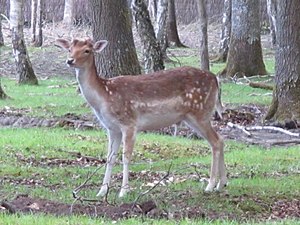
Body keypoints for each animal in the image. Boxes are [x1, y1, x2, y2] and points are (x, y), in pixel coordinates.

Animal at [55, 38, 226, 197]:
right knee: (220, 139)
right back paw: (221, 184)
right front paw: (102, 191)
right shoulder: (112, 128)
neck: (104, 97)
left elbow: (126, 157)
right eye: (69, 49)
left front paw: (123, 191)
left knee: (216, 141)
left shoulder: (129, 123)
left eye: (87, 50)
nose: (70, 60)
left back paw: (210, 185)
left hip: (200, 113)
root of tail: (215, 79)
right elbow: (110, 157)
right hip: (193, 117)